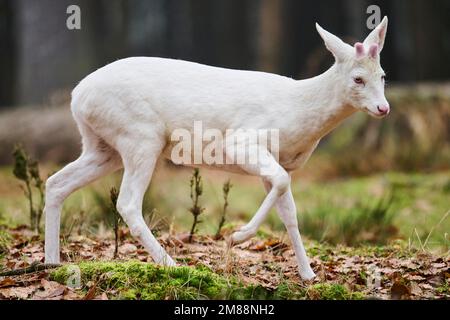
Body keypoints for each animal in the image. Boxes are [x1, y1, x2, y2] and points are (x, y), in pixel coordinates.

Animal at [44, 16, 390, 280]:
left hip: (103, 146)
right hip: (139, 136)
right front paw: (235, 237)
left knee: (55, 183)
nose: (383, 108)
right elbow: (280, 182)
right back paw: (173, 265)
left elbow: (289, 211)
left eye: (383, 76)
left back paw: (52, 263)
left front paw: (309, 275)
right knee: (127, 202)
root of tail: (76, 96)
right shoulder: (241, 142)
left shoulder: (281, 161)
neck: (298, 111)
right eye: (358, 79)